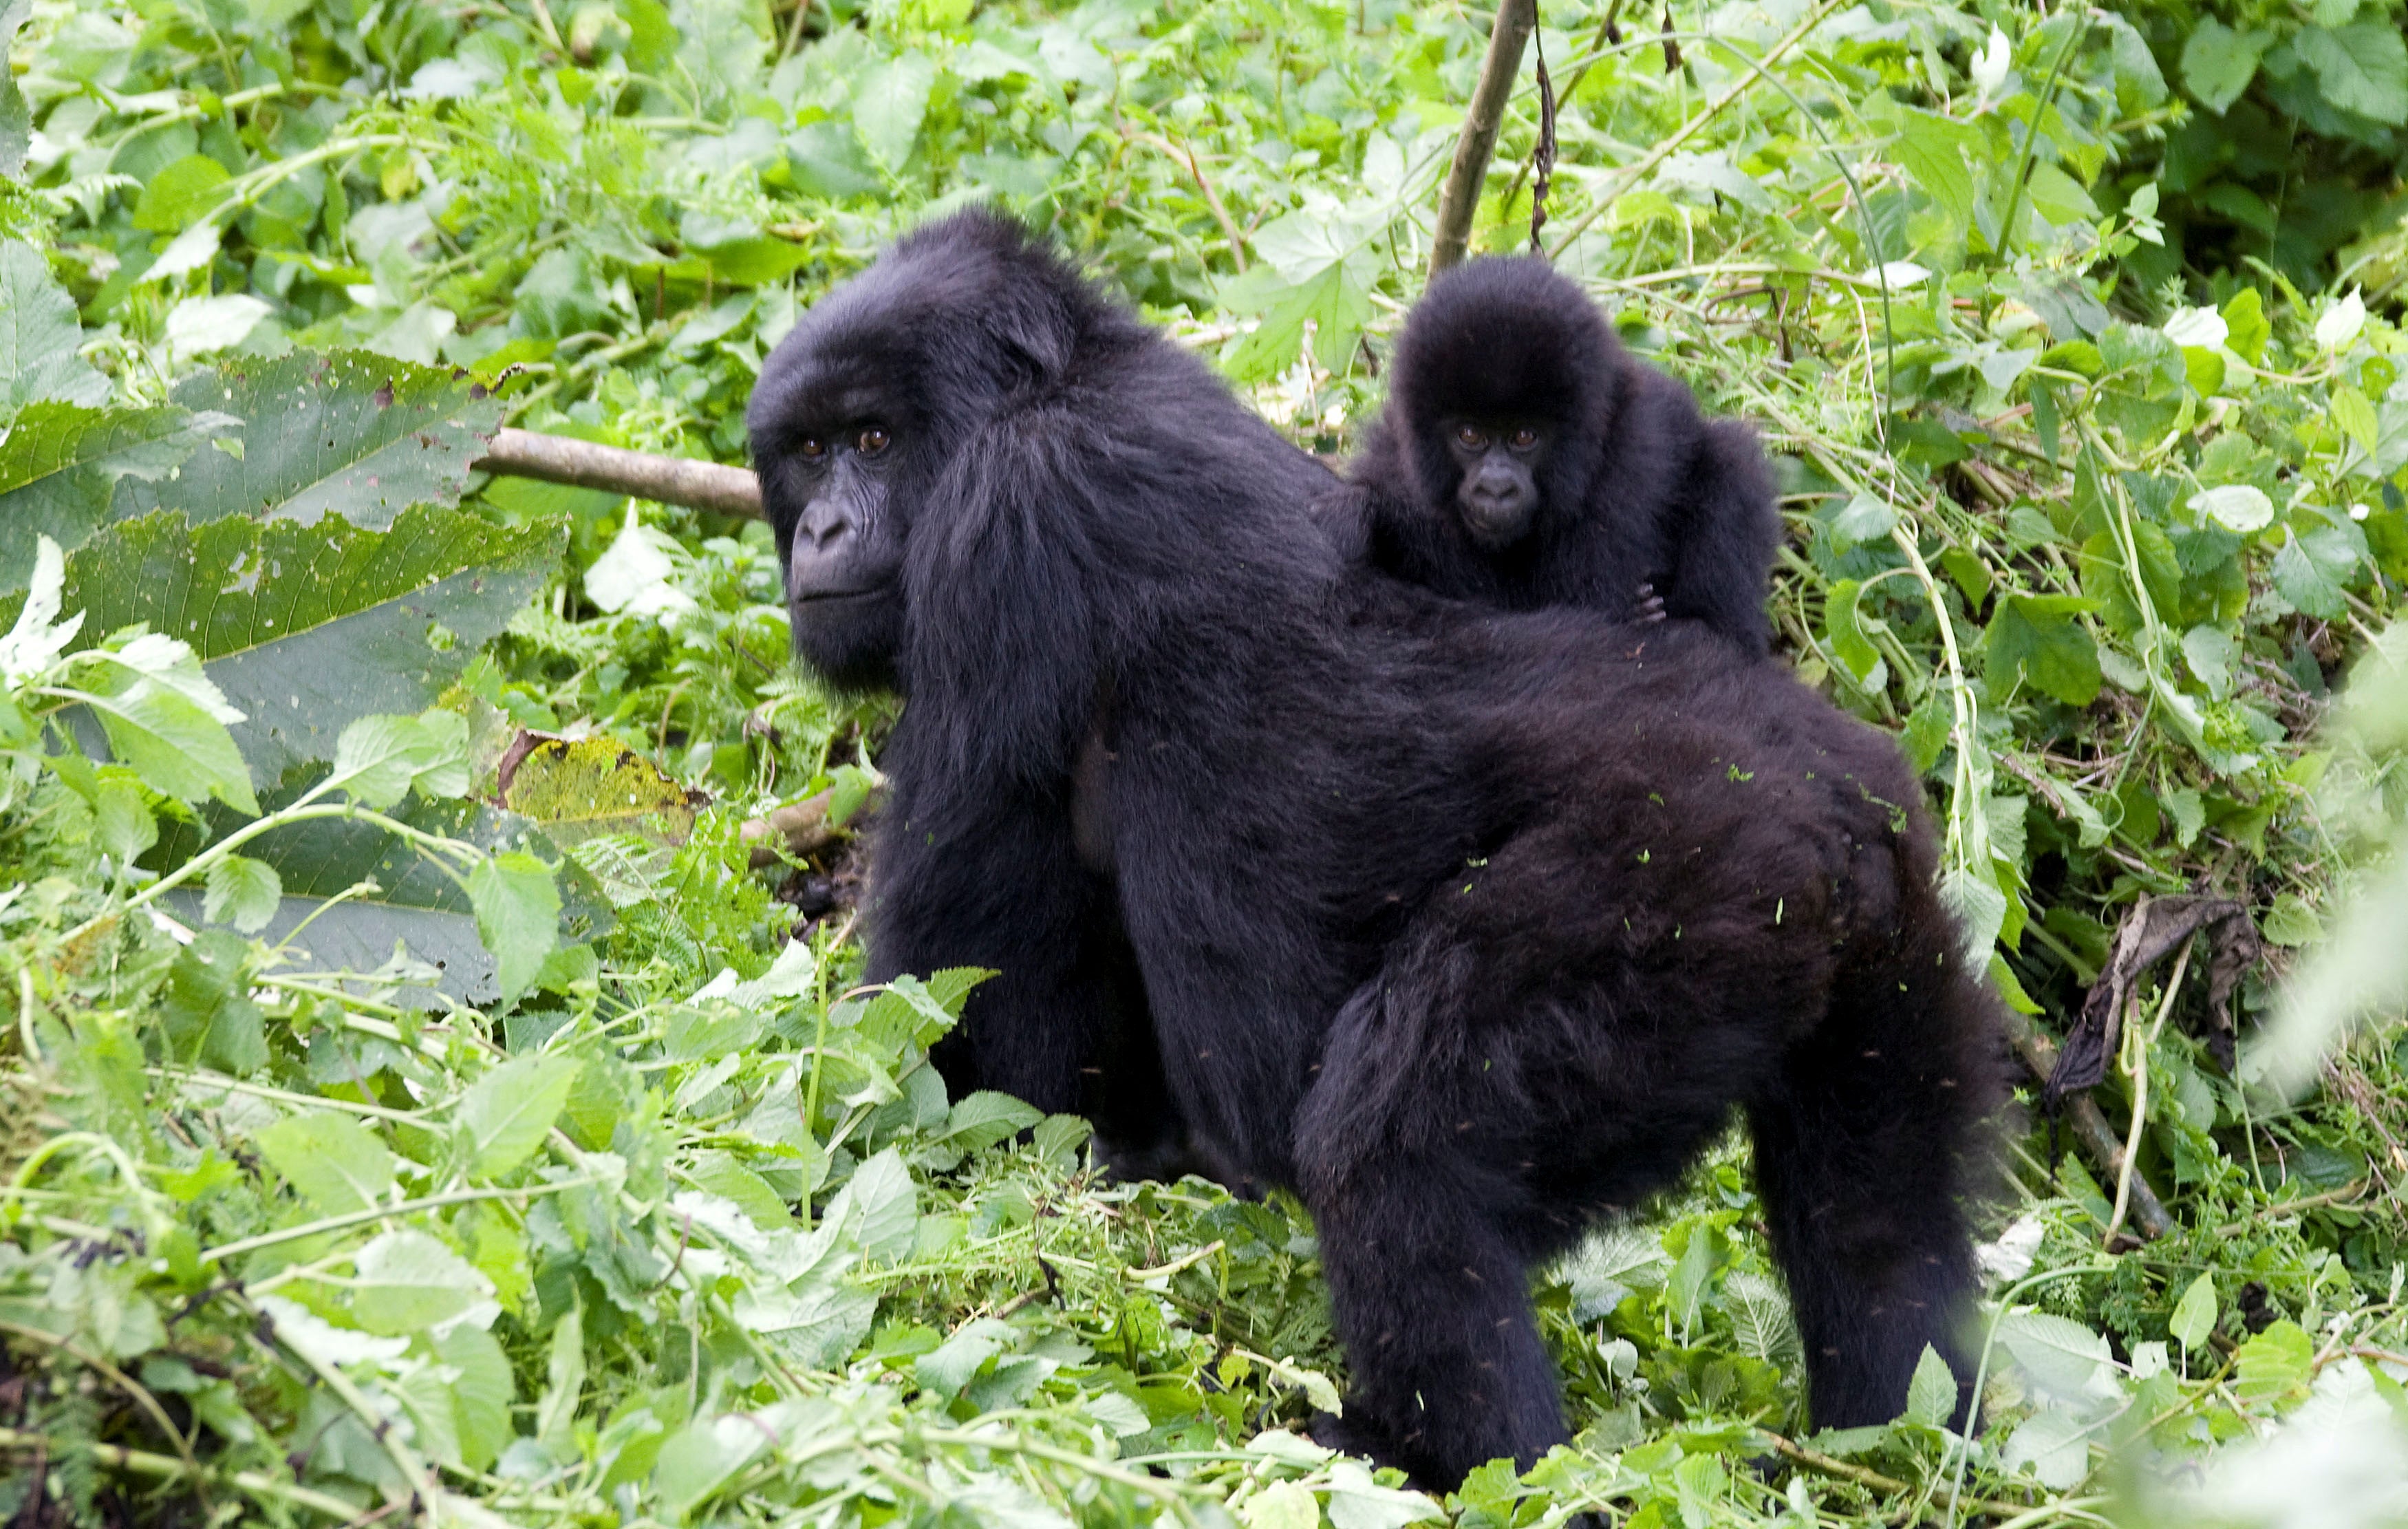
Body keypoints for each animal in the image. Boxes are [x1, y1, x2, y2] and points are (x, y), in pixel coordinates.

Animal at [1339, 257, 1792, 650]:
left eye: (1525, 436)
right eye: (1470, 434)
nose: (1496, 489)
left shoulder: (1629, 458)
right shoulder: (1392, 472)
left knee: (1730, 461)